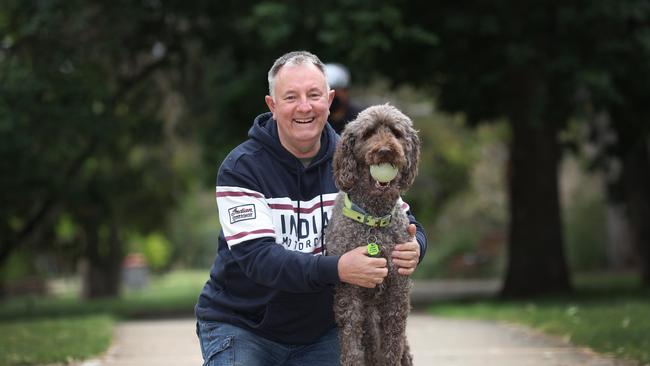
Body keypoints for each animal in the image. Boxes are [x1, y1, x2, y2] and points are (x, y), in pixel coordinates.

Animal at [324, 103, 420, 366]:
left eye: (396, 133)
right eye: (368, 134)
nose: (386, 151)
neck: (373, 222)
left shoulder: (397, 291)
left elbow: (392, 346)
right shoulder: (349, 291)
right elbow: (351, 346)